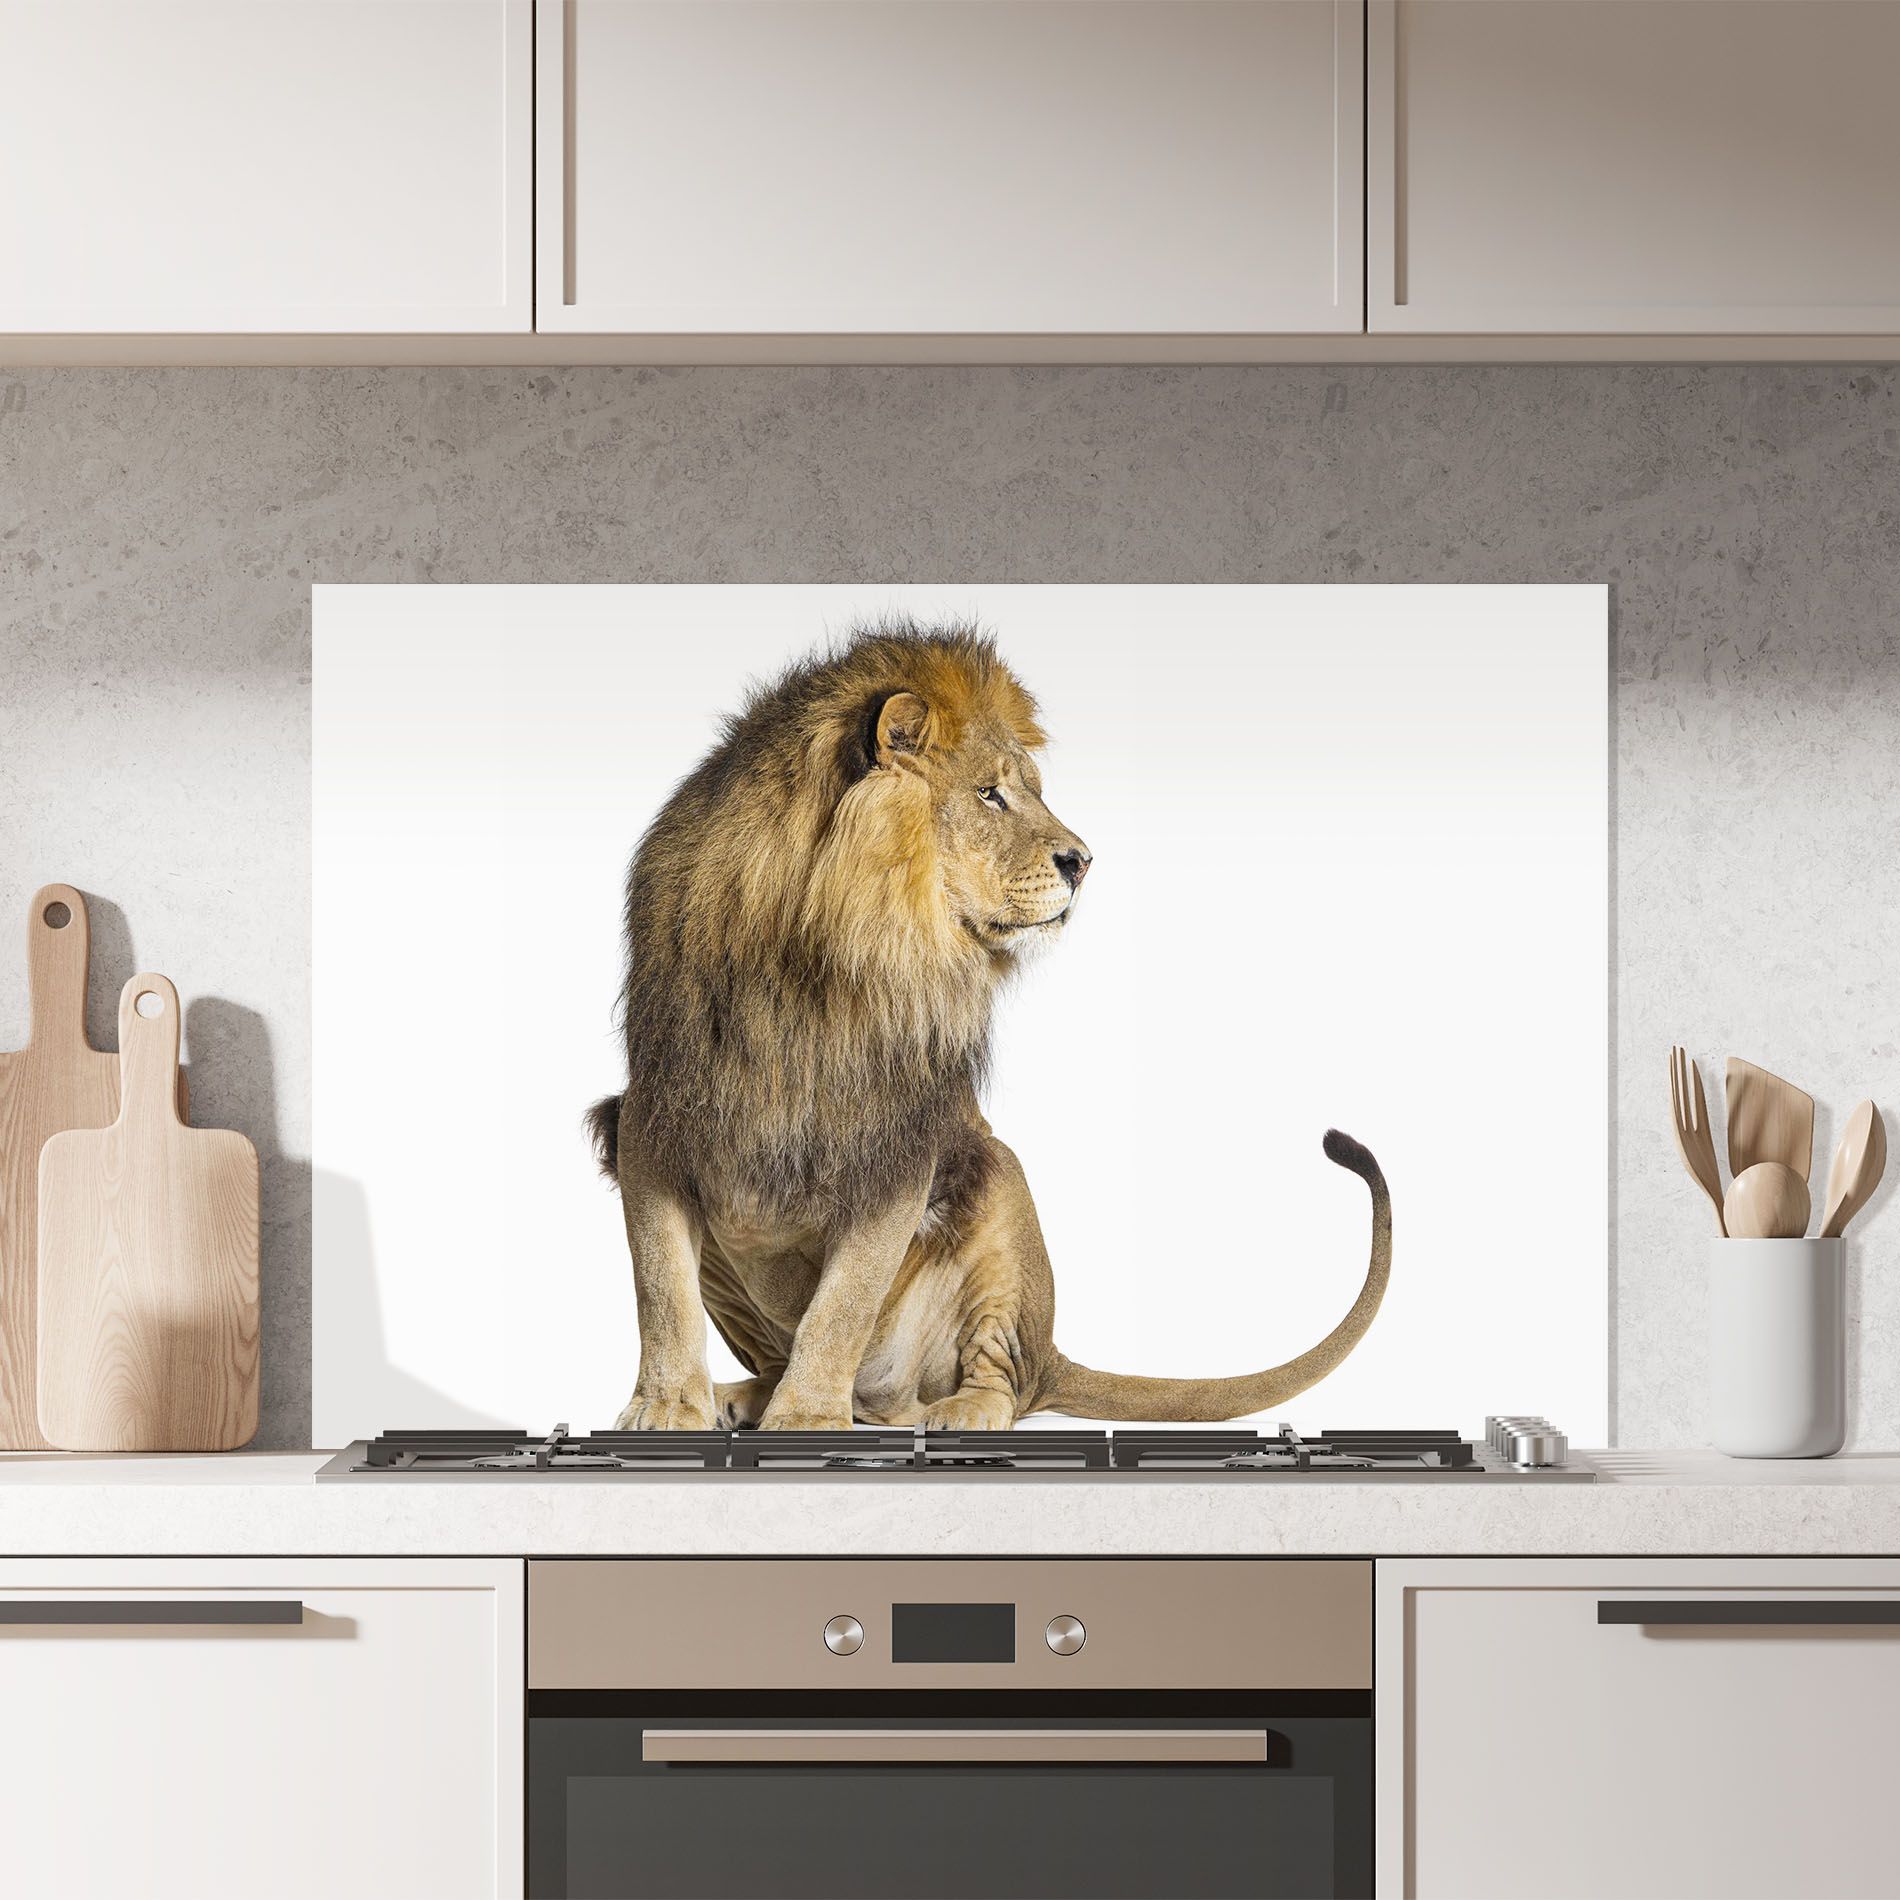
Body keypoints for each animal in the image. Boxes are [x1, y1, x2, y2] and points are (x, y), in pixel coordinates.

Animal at [589, 621, 1390, 1432]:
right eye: (990, 794)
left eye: (1028, 791)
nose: (1084, 862)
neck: (814, 960)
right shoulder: (652, 1116)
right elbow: (662, 1289)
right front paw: (668, 1407)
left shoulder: (899, 1145)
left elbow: (841, 1305)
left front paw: (807, 1417)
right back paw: (746, 1397)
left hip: (1000, 1190)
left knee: (1000, 1378)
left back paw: (954, 1409)